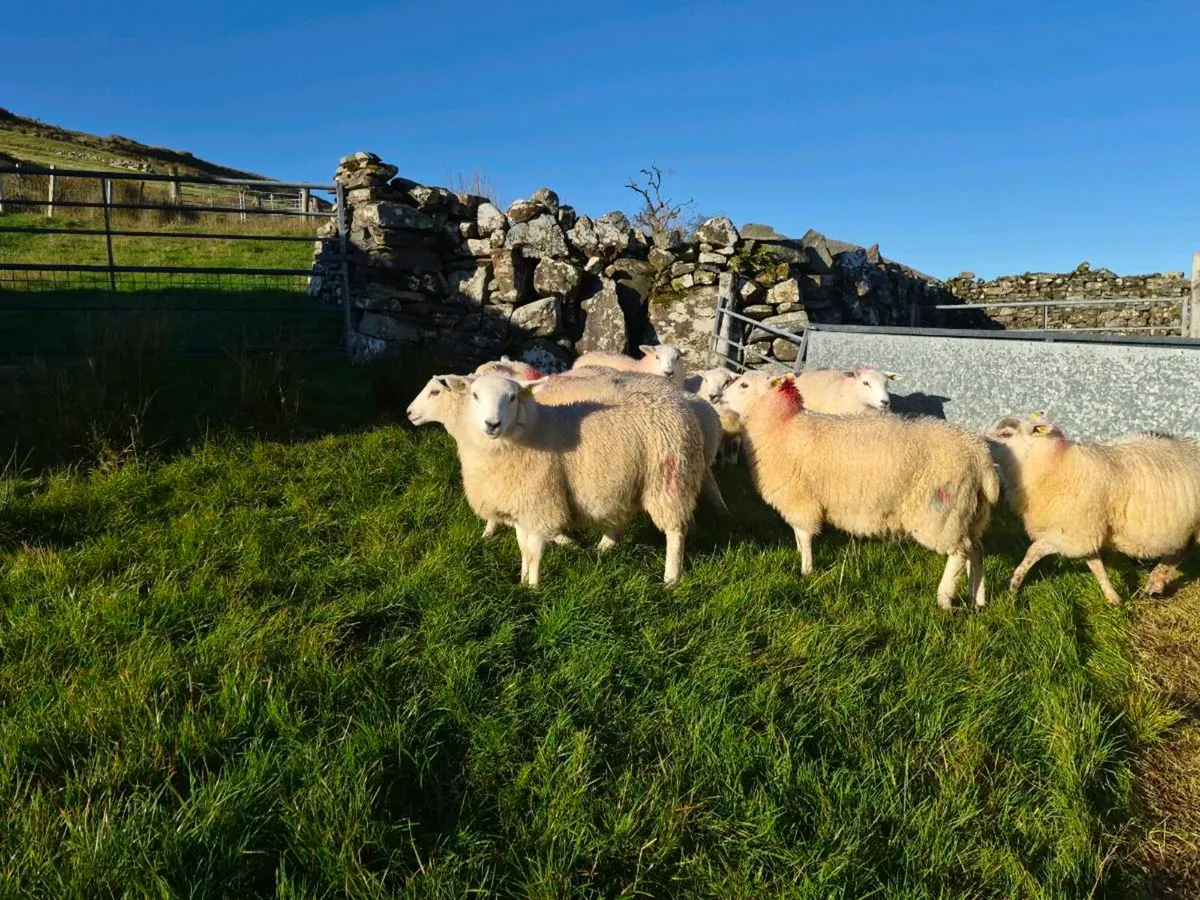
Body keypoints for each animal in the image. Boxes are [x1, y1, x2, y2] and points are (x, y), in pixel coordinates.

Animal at [448, 373, 707, 586]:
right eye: (475, 395)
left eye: (512, 397)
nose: (492, 424)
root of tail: (675, 395)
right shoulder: (521, 505)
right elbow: (523, 548)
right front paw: (522, 581)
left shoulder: (542, 503)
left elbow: (533, 551)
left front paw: (533, 588)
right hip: (632, 482)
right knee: (623, 516)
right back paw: (602, 548)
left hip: (669, 481)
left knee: (675, 531)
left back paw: (671, 579)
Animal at [722, 370, 999, 609]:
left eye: (744, 385)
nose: (719, 397)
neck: (781, 427)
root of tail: (978, 453)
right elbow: (798, 535)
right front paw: (802, 558)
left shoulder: (800, 499)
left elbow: (804, 535)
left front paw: (806, 570)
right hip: (969, 512)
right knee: (976, 550)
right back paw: (978, 598)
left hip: (939, 512)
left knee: (960, 552)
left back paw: (944, 599)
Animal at [985, 413, 1200, 603]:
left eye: (1006, 433)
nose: (982, 442)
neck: (1056, 464)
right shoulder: (1085, 532)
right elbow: (1096, 565)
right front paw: (1113, 597)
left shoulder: (1072, 534)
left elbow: (1033, 550)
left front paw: (1014, 583)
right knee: (1179, 552)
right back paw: (1155, 583)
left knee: (1179, 552)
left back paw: (1155, 581)